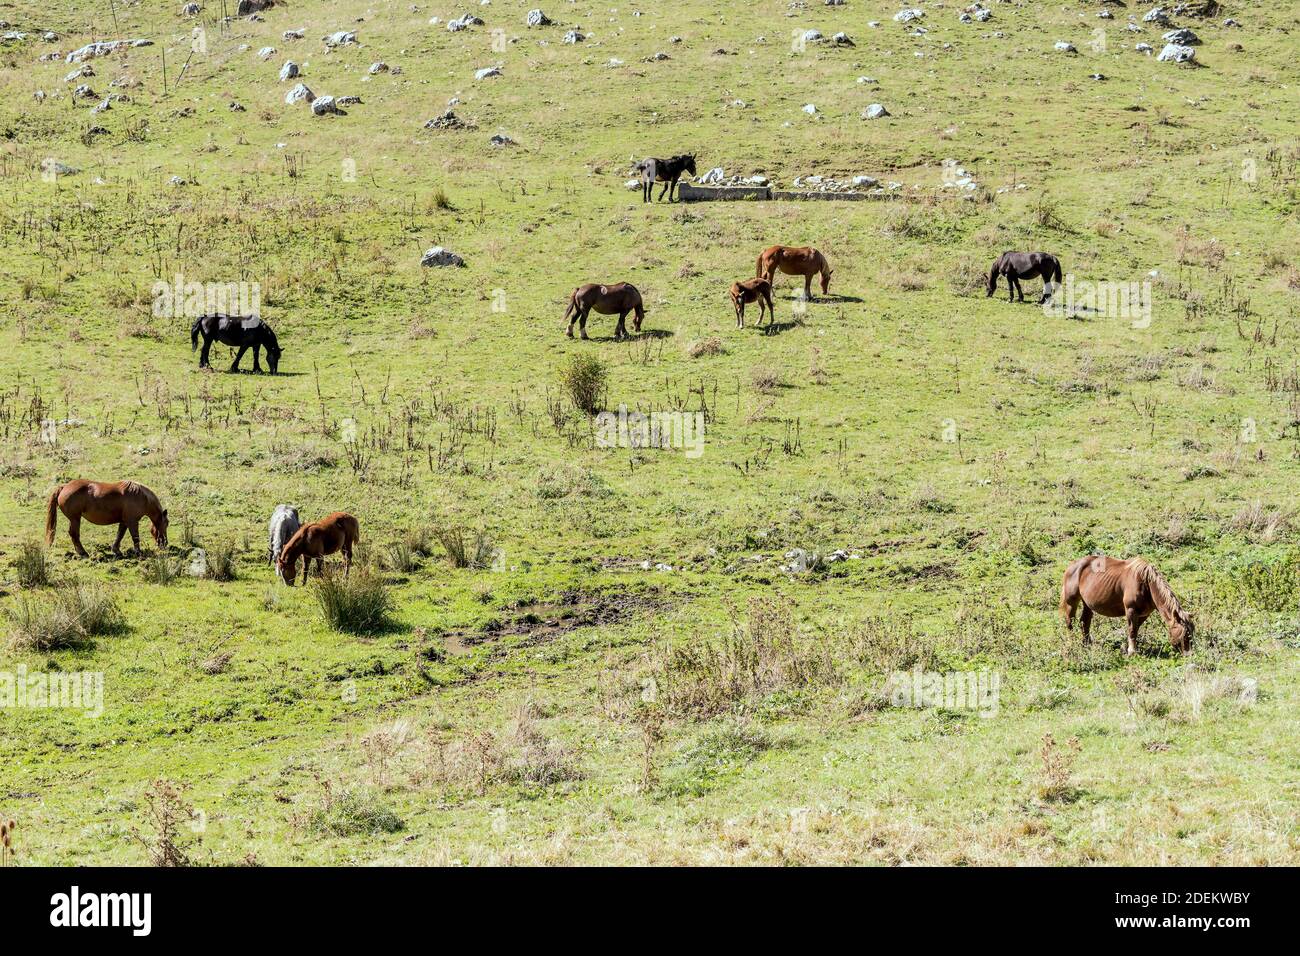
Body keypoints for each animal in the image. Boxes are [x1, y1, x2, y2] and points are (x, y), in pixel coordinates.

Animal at [1059, 555, 1193, 656]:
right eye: (1184, 634)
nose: (1189, 654)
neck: (1146, 583)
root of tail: (1072, 566)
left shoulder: (1143, 614)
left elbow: (1135, 629)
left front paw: (1128, 647)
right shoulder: (1131, 610)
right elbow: (1132, 630)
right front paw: (1132, 651)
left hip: (1087, 604)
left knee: (1085, 622)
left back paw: (1086, 644)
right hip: (1071, 601)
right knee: (1070, 622)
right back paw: (1072, 643)